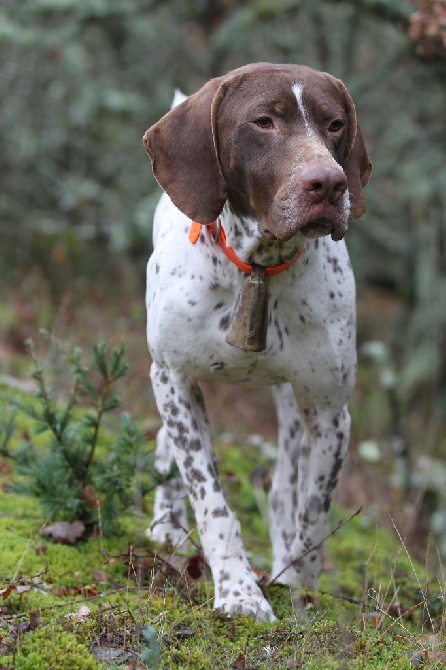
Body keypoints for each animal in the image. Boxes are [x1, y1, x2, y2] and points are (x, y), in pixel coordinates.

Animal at [144, 63, 372, 624]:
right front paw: (239, 592)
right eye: (264, 121)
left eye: (335, 124)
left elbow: (312, 514)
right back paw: (166, 525)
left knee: (285, 489)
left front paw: (300, 592)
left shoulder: (329, 412)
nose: (329, 184)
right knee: (166, 443)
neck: (259, 268)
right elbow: (212, 501)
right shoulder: (175, 378)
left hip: (292, 407)